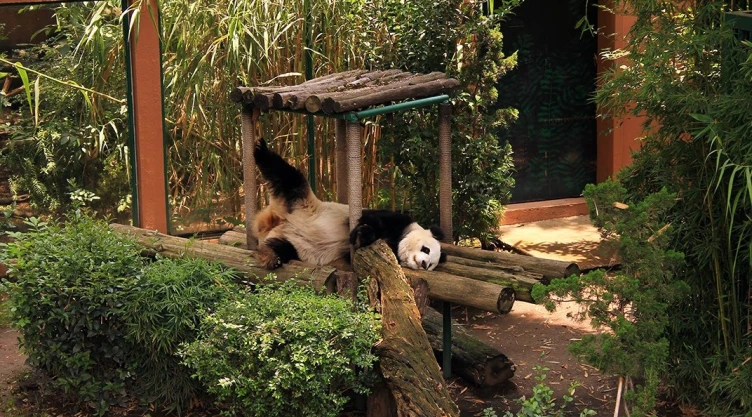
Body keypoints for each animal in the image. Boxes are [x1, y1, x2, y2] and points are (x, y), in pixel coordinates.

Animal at [252, 138, 447, 271]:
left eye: (431, 265)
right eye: (426, 249)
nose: (424, 263)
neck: (400, 238)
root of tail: (277, 222)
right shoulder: (398, 219)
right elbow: (370, 219)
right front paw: (362, 233)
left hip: (297, 246)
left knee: (281, 247)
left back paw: (270, 256)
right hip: (301, 202)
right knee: (287, 176)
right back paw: (260, 149)